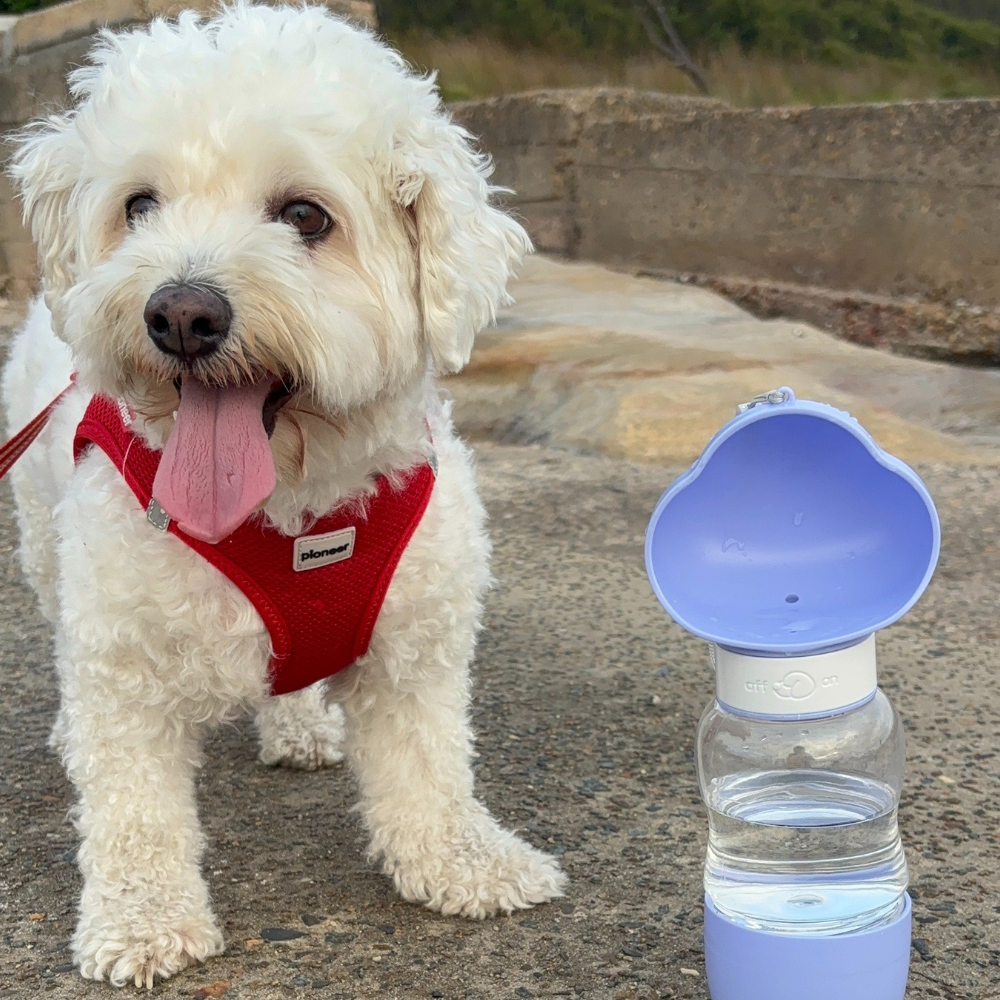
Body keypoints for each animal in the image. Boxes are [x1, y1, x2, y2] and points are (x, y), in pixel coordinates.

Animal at [0, 3, 564, 988]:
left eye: (305, 215)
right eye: (139, 206)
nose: (181, 314)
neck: (294, 507)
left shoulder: (416, 650)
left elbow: (431, 767)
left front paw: (464, 860)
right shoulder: (122, 662)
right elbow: (135, 813)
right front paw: (142, 919)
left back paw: (297, 719)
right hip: (42, 546)